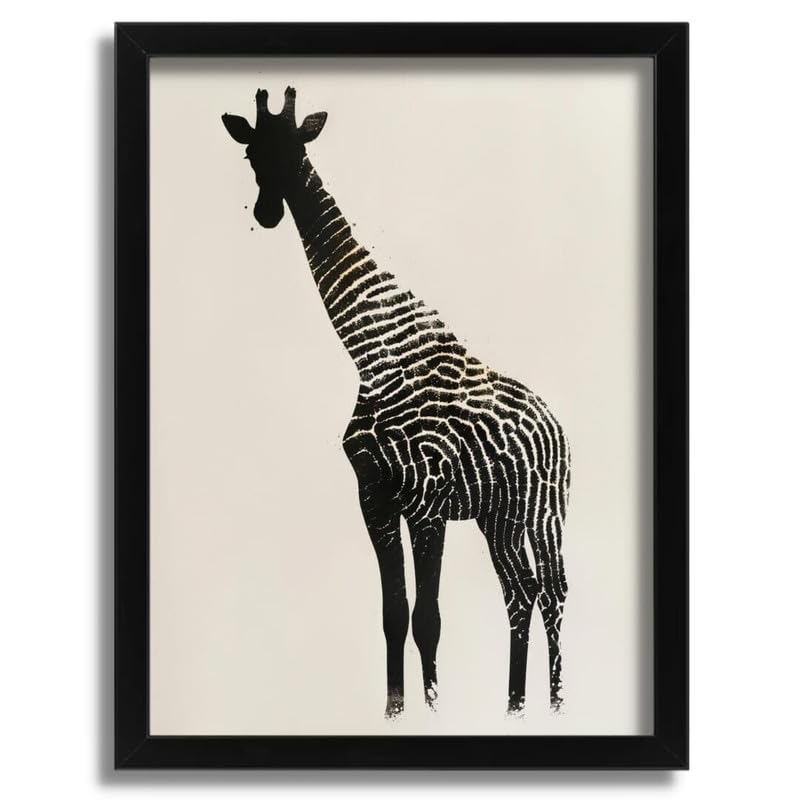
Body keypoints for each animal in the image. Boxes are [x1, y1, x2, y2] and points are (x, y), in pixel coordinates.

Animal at [222, 87, 570, 718]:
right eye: (252, 155)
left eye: (297, 150)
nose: (266, 213)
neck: (372, 355)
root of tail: (558, 424)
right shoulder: (375, 498)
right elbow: (392, 616)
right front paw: (395, 708)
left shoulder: (427, 503)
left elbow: (427, 618)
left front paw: (432, 707)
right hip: (499, 518)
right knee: (521, 593)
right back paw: (514, 704)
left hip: (544, 512)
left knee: (554, 593)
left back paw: (555, 703)